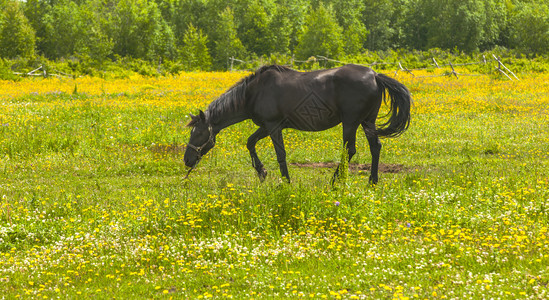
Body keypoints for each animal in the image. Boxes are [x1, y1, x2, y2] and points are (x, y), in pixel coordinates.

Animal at [184, 64, 412, 184]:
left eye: (197, 134)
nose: (187, 160)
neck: (253, 93)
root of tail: (374, 75)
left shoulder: (273, 126)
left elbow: (281, 155)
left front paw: (285, 181)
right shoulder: (265, 126)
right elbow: (250, 142)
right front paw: (261, 172)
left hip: (350, 123)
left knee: (350, 150)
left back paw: (335, 181)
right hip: (367, 122)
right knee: (375, 147)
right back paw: (372, 181)